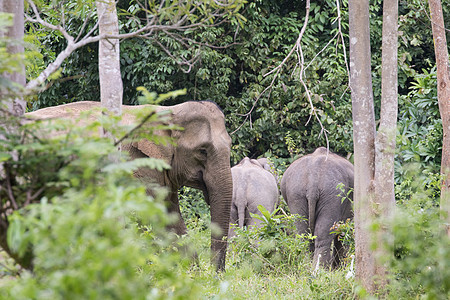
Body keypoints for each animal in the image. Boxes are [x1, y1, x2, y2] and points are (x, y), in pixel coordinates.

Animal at [25, 101, 234, 272]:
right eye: (202, 151)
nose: (217, 274)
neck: (167, 110)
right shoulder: (136, 163)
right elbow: (151, 215)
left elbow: (170, 216)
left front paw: (193, 276)